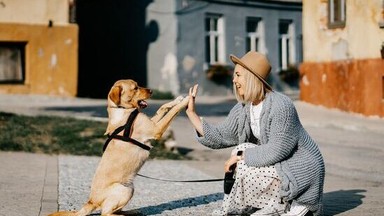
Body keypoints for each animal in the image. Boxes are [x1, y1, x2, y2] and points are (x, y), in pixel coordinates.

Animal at [48, 79, 190, 216]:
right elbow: (173, 112)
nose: (151, 90)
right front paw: (186, 100)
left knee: (115, 210)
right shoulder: (156, 129)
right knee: (106, 213)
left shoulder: (152, 123)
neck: (122, 110)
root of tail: (91, 201)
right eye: (135, 88)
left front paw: (176, 100)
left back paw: (132, 212)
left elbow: (162, 107)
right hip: (123, 189)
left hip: (130, 188)